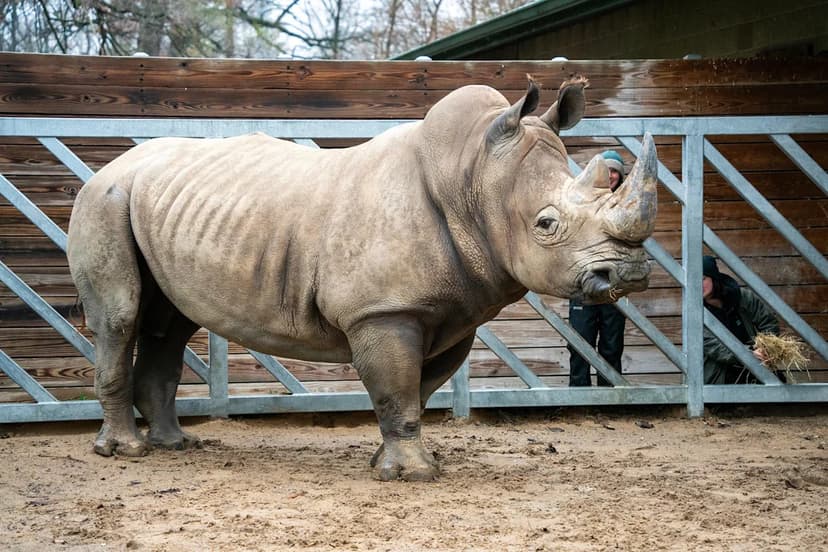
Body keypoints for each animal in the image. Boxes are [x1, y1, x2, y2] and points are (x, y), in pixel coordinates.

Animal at [67, 76, 658, 481]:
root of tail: (104, 170)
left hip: (153, 204)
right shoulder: (383, 310)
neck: (472, 177)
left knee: (169, 324)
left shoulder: (453, 313)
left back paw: (176, 446)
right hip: (105, 200)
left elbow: (419, 388)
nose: (628, 273)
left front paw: (387, 462)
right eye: (546, 224)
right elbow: (396, 388)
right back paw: (127, 452)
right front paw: (415, 475)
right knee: (120, 318)